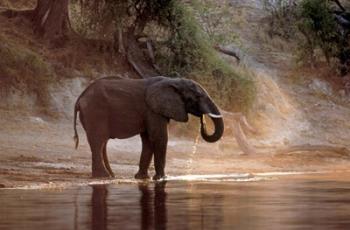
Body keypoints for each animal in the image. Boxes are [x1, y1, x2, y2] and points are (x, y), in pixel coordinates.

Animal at [74, 75, 224, 180]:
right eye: (197, 96)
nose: (202, 120)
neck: (174, 81)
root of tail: (80, 97)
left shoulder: (151, 111)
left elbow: (148, 140)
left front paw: (142, 178)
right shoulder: (152, 110)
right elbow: (159, 137)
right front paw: (162, 178)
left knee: (102, 143)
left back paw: (111, 176)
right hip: (95, 112)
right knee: (98, 141)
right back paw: (102, 176)